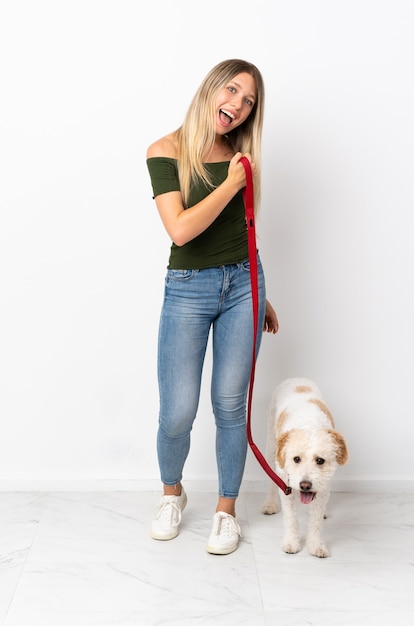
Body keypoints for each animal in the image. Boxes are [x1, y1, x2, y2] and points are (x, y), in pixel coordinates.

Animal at [264, 376, 348, 556]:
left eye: (320, 460)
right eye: (296, 459)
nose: (305, 485)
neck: (309, 426)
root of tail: (296, 379)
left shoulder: (323, 487)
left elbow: (315, 521)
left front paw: (316, 545)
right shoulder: (285, 484)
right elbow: (290, 517)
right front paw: (291, 543)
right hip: (272, 446)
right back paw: (270, 504)